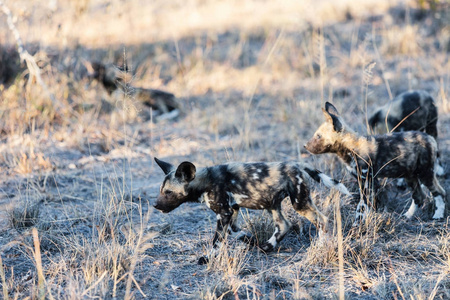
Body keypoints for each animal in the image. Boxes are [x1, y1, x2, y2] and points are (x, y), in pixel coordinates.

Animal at [153, 157, 350, 264]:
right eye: (161, 190)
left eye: (168, 192)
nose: (156, 206)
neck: (205, 181)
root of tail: (296, 164)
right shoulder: (232, 210)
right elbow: (234, 231)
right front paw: (250, 240)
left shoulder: (224, 213)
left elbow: (216, 241)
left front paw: (208, 258)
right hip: (271, 204)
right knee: (284, 225)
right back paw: (267, 246)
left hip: (299, 203)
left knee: (322, 220)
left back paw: (321, 246)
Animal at [306, 102, 446, 224]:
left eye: (318, 136)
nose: (305, 146)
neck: (351, 148)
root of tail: (430, 138)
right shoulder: (369, 182)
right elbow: (371, 205)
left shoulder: (366, 182)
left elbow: (361, 207)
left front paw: (357, 225)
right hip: (410, 176)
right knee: (419, 196)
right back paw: (408, 215)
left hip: (425, 174)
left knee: (440, 193)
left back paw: (438, 216)